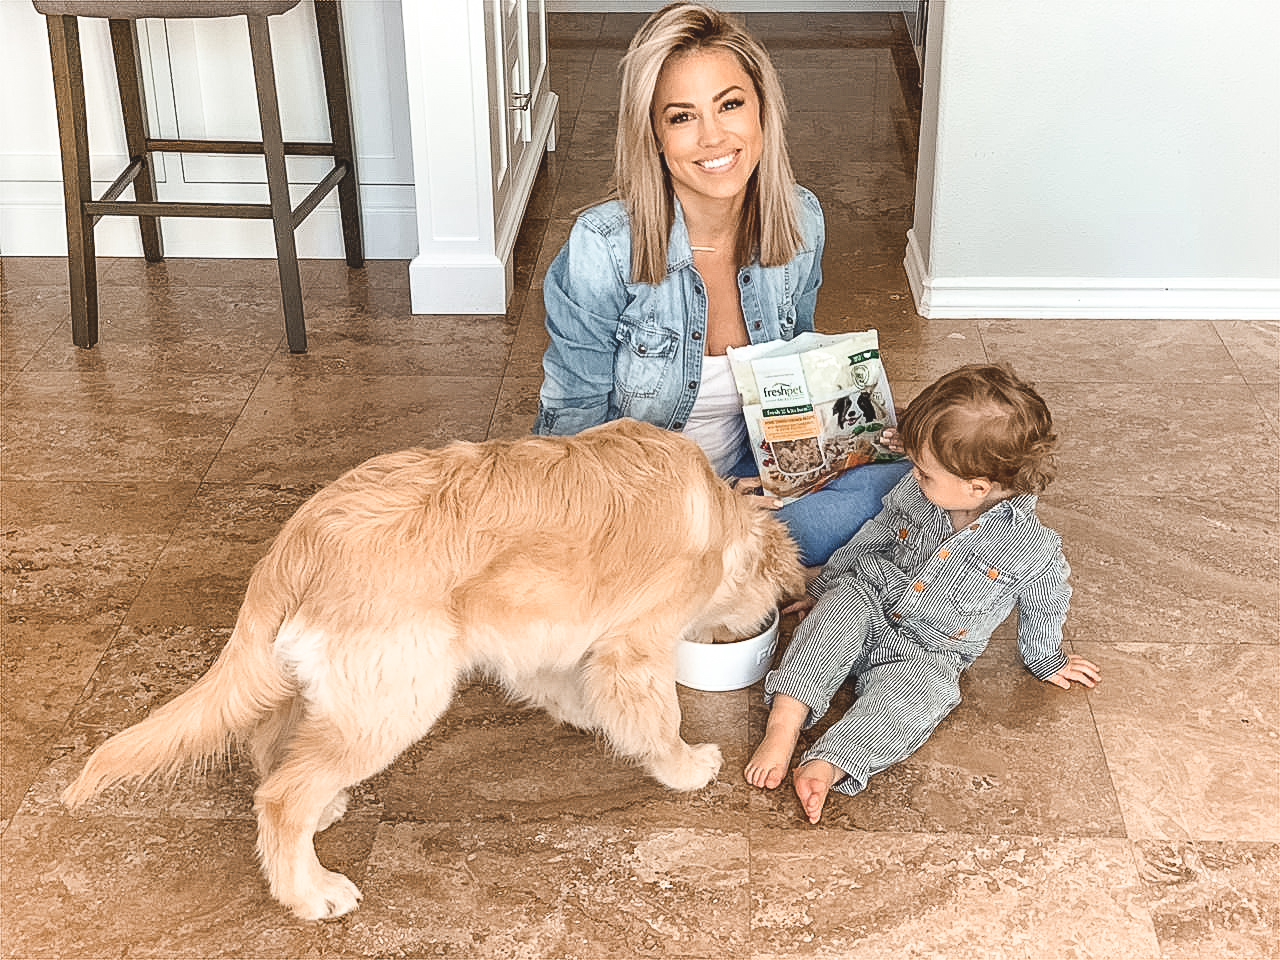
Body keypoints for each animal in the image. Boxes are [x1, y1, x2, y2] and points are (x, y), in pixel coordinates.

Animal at [62, 419, 798, 926]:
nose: (763, 620)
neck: (720, 519)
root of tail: (297, 543)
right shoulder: (637, 643)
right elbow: (657, 714)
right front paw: (684, 765)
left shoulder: (534, 629)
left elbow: (556, 677)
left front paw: (582, 710)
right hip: (400, 694)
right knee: (279, 795)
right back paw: (311, 891)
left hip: (341, 687)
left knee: (273, 750)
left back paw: (323, 812)